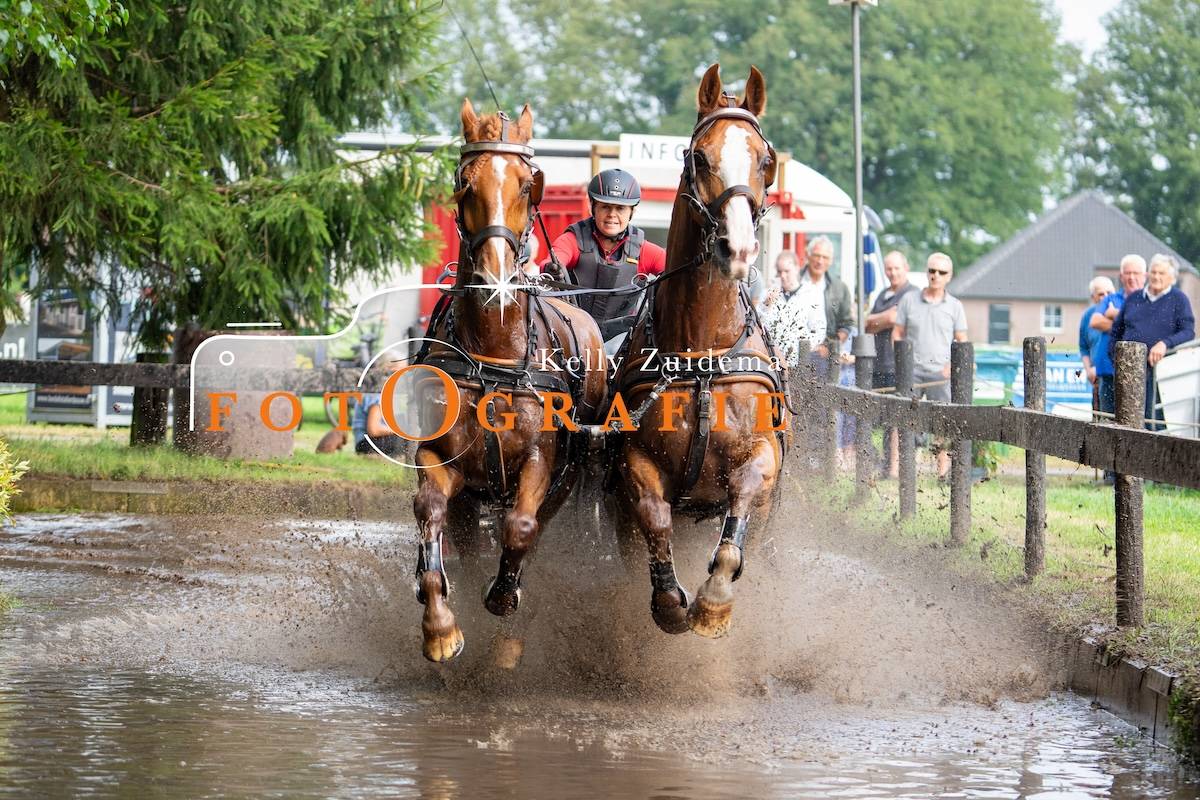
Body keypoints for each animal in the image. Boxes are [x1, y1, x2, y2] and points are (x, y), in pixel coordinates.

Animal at [415, 101, 609, 662]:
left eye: (528, 184)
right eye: (464, 181)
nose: (496, 277)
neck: (494, 356)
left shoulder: (543, 461)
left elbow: (521, 528)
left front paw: (504, 599)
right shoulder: (440, 457)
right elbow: (429, 509)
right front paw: (440, 627)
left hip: (573, 474)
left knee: (531, 530)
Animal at [614, 64, 792, 638]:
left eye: (766, 160)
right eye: (699, 157)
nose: (737, 247)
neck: (703, 353)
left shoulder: (762, 457)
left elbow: (735, 531)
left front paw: (713, 603)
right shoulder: (635, 465)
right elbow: (655, 519)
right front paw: (671, 603)